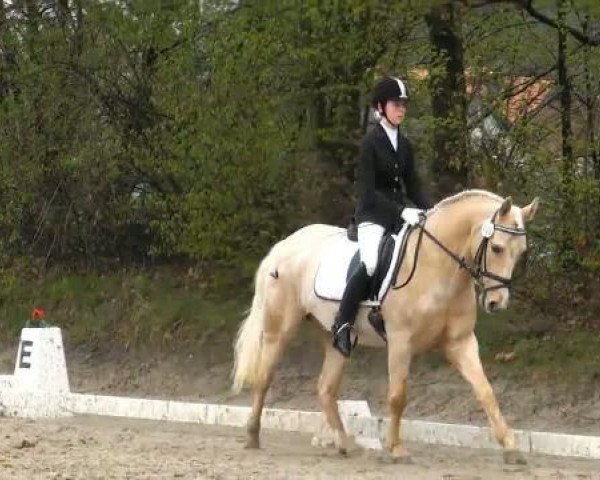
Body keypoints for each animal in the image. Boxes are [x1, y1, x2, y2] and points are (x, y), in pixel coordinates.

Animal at [231, 189, 540, 464]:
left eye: (521, 253)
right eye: (497, 248)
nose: (497, 303)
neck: (437, 266)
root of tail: (282, 247)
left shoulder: (461, 342)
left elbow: (485, 391)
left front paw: (511, 448)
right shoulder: (401, 341)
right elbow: (397, 395)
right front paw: (396, 450)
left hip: (336, 338)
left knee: (325, 387)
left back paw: (345, 444)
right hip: (279, 330)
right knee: (264, 378)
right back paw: (252, 436)